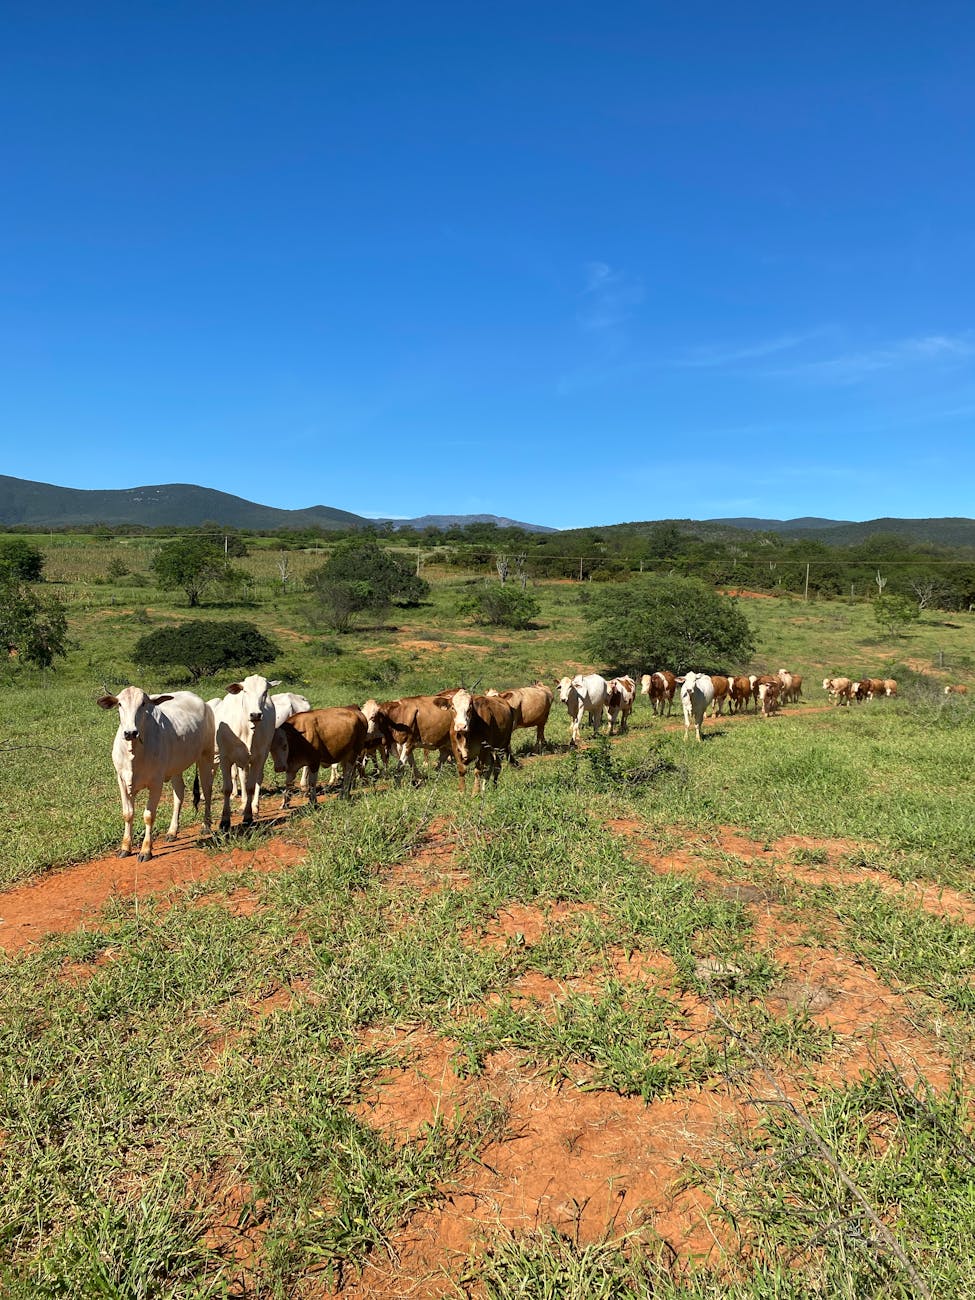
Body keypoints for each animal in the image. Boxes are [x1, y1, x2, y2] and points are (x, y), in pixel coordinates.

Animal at [97, 687, 215, 861]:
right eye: (119, 704)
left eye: (143, 703)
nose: (130, 732)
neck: (134, 752)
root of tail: (203, 703)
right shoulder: (122, 781)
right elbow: (127, 814)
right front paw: (125, 847)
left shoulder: (156, 783)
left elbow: (148, 816)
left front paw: (146, 850)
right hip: (176, 768)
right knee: (179, 794)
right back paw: (172, 832)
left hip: (206, 755)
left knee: (206, 790)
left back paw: (206, 825)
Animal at [210, 674, 281, 830]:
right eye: (245, 691)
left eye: (265, 691)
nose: (255, 714)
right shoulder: (225, 758)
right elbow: (227, 788)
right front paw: (224, 821)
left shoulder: (258, 758)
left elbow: (250, 787)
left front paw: (248, 817)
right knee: (242, 777)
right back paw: (243, 804)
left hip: (261, 755)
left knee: (258, 778)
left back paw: (254, 807)